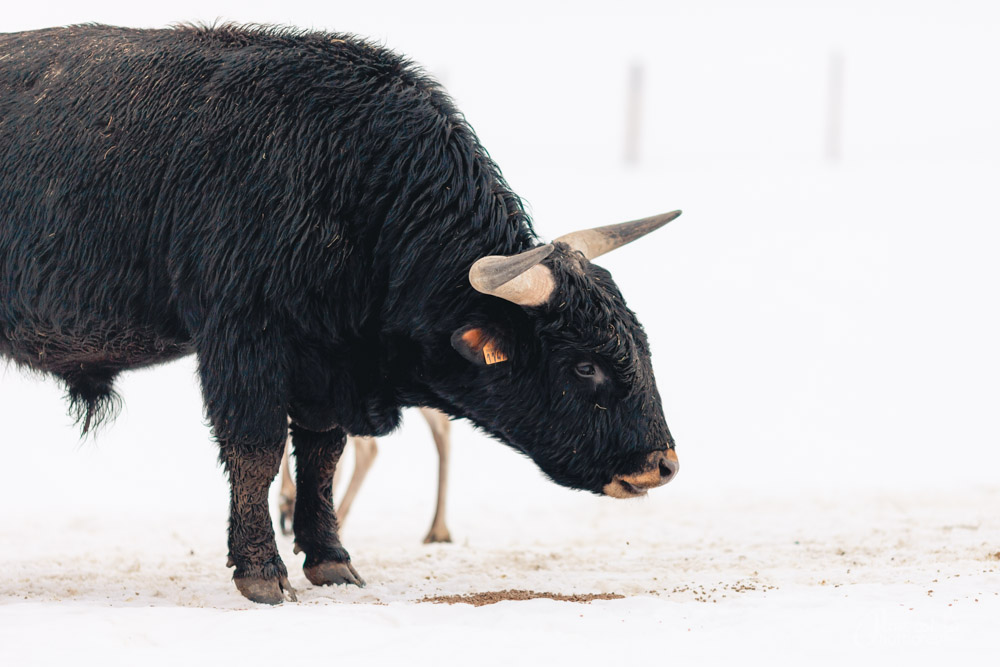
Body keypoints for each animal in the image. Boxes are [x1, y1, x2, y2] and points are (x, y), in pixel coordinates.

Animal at [0, 24, 680, 604]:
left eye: (639, 342)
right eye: (585, 366)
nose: (662, 464)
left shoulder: (324, 364)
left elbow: (322, 454)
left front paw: (330, 557)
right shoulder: (244, 342)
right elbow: (257, 451)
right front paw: (262, 571)